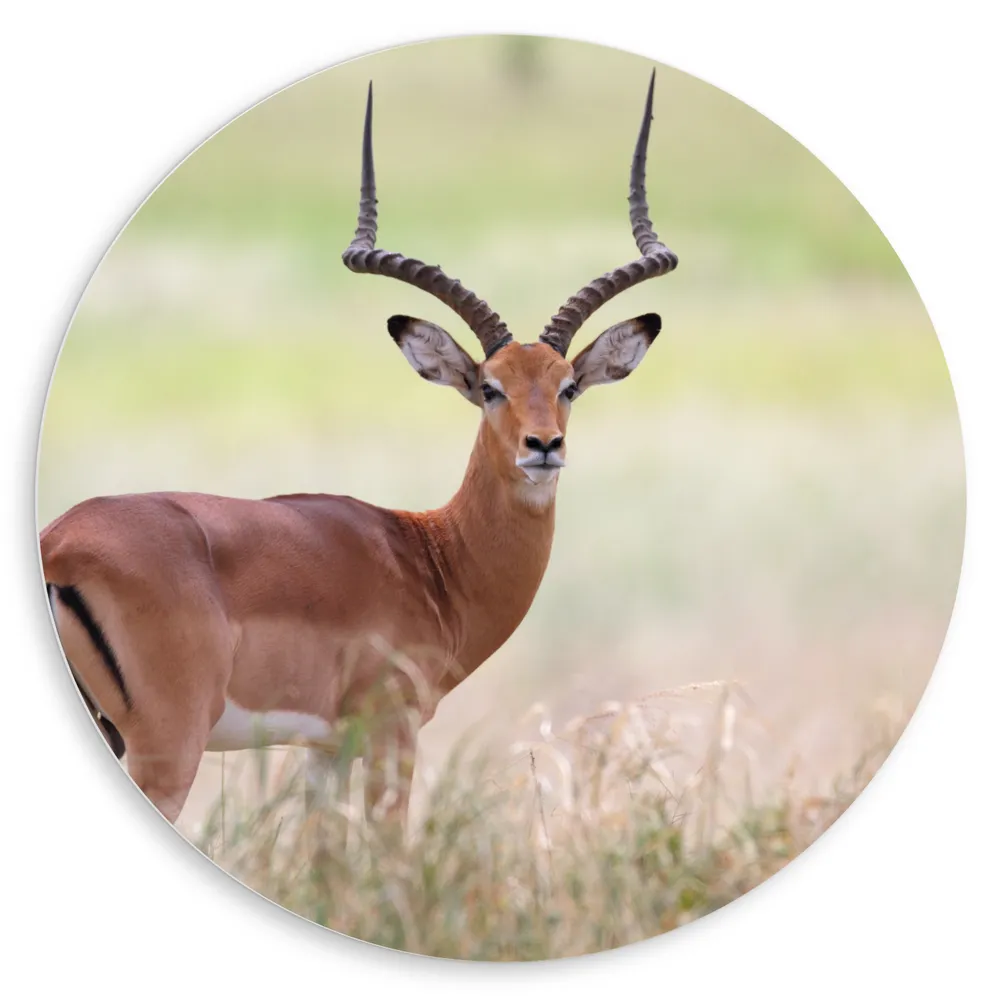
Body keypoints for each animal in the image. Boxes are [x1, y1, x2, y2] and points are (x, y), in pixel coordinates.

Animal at [40, 71, 678, 826]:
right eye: (490, 388)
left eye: (570, 386)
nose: (543, 445)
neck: (432, 557)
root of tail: (59, 546)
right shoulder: (391, 730)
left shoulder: (325, 748)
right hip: (167, 747)